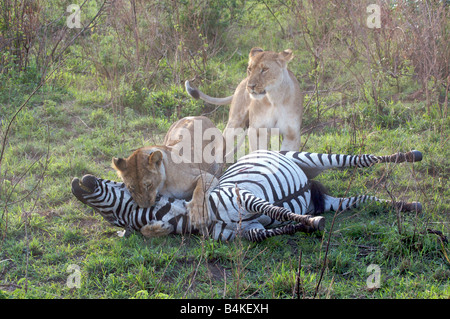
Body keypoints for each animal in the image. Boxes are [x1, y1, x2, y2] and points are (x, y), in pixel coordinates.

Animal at [71, 150, 422, 242]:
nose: (76, 181)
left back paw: (412, 155)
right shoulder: (244, 232)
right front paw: (305, 225)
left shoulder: (245, 197)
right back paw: (409, 204)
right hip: (336, 200)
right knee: (365, 200)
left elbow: (280, 212)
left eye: (116, 187)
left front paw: (311, 221)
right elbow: (268, 231)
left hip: (310, 157)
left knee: (361, 159)